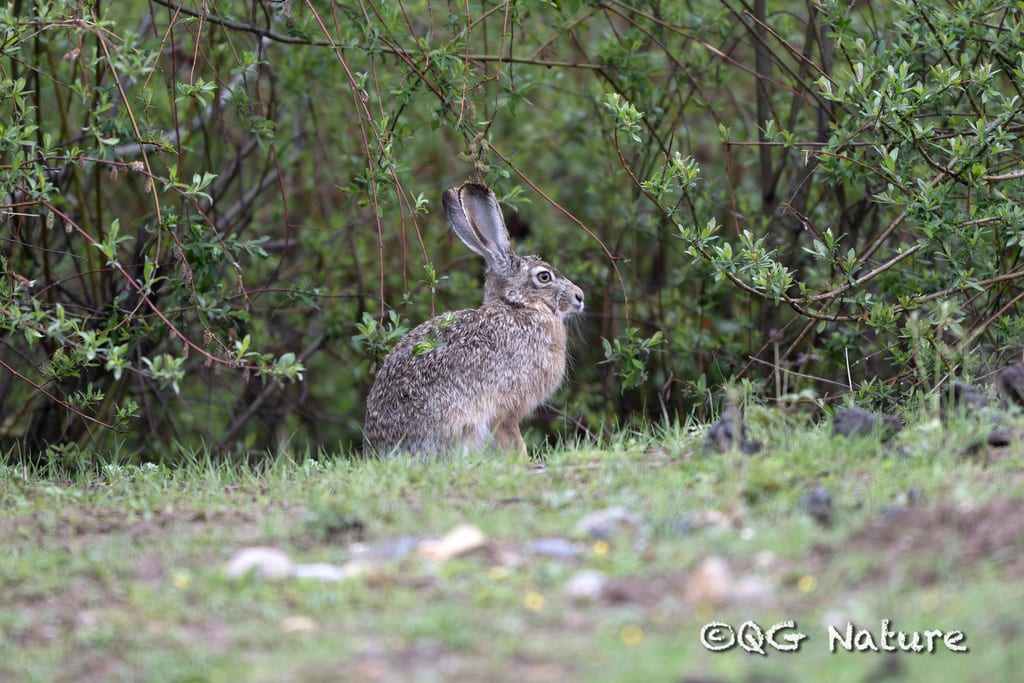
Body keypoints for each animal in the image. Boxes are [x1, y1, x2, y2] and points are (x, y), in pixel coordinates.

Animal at [363, 181, 585, 459]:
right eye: (544, 277)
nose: (580, 296)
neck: (520, 306)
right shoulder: (506, 406)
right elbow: (511, 437)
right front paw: (521, 459)